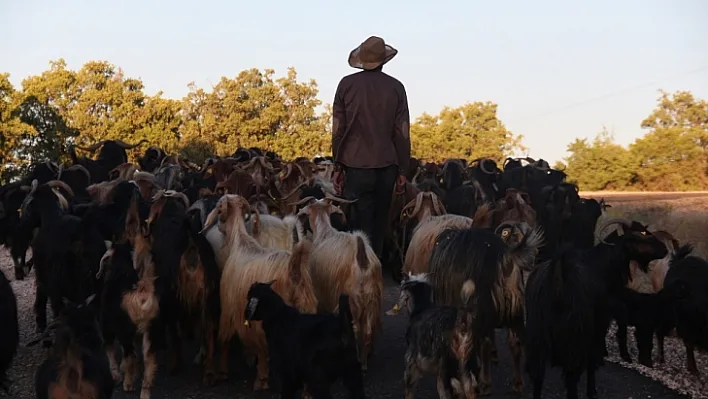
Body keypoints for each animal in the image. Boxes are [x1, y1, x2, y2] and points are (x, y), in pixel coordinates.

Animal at [294, 196, 382, 372]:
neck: (324, 233)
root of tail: (363, 260)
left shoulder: (322, 290)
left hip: (354, 299)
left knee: (358, 329)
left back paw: (359, 360)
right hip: (372, 298)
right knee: (369, 329)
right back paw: (366, 356)